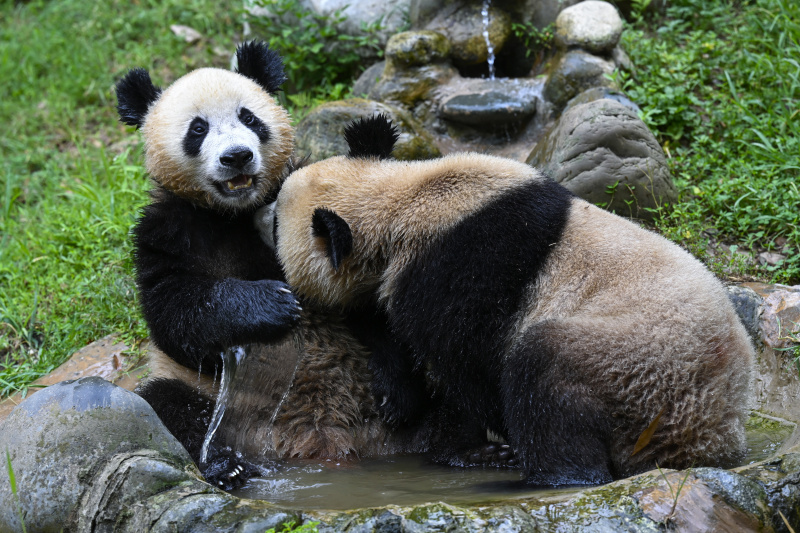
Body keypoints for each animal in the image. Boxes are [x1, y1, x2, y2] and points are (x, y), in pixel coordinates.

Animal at [272, 114, 755, 486]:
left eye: (274, 219)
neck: (401, 201)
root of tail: (715, 435)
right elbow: (381, 324)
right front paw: (398, 399)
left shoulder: (461, 267)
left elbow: (471, 364)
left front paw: (467, 443)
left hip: (643, 366)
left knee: (546, 373)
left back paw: (542, 475)